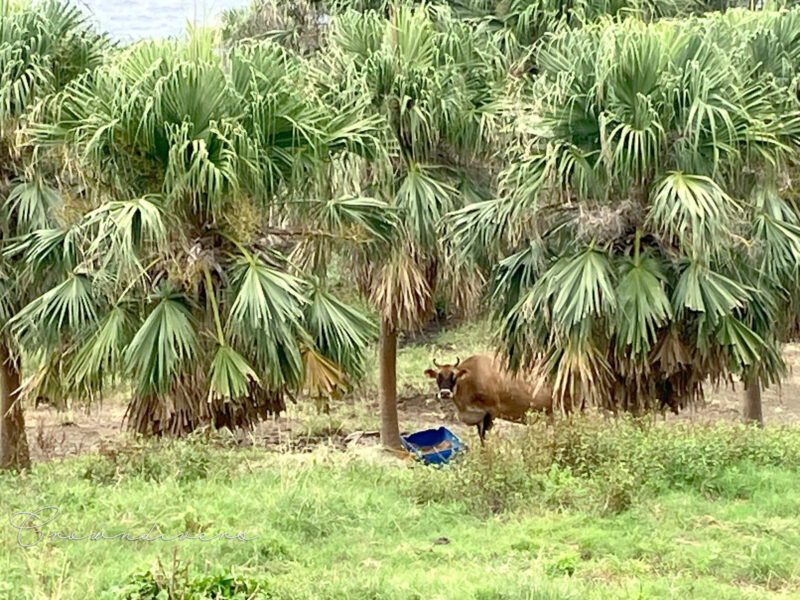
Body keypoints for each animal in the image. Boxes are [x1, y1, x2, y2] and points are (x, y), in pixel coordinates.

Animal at [424, 354, 552, 442]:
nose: (445, 393)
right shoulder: (479, 416)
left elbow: (484, 435)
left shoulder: (492, 411)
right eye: (438, 377)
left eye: (453, 376)